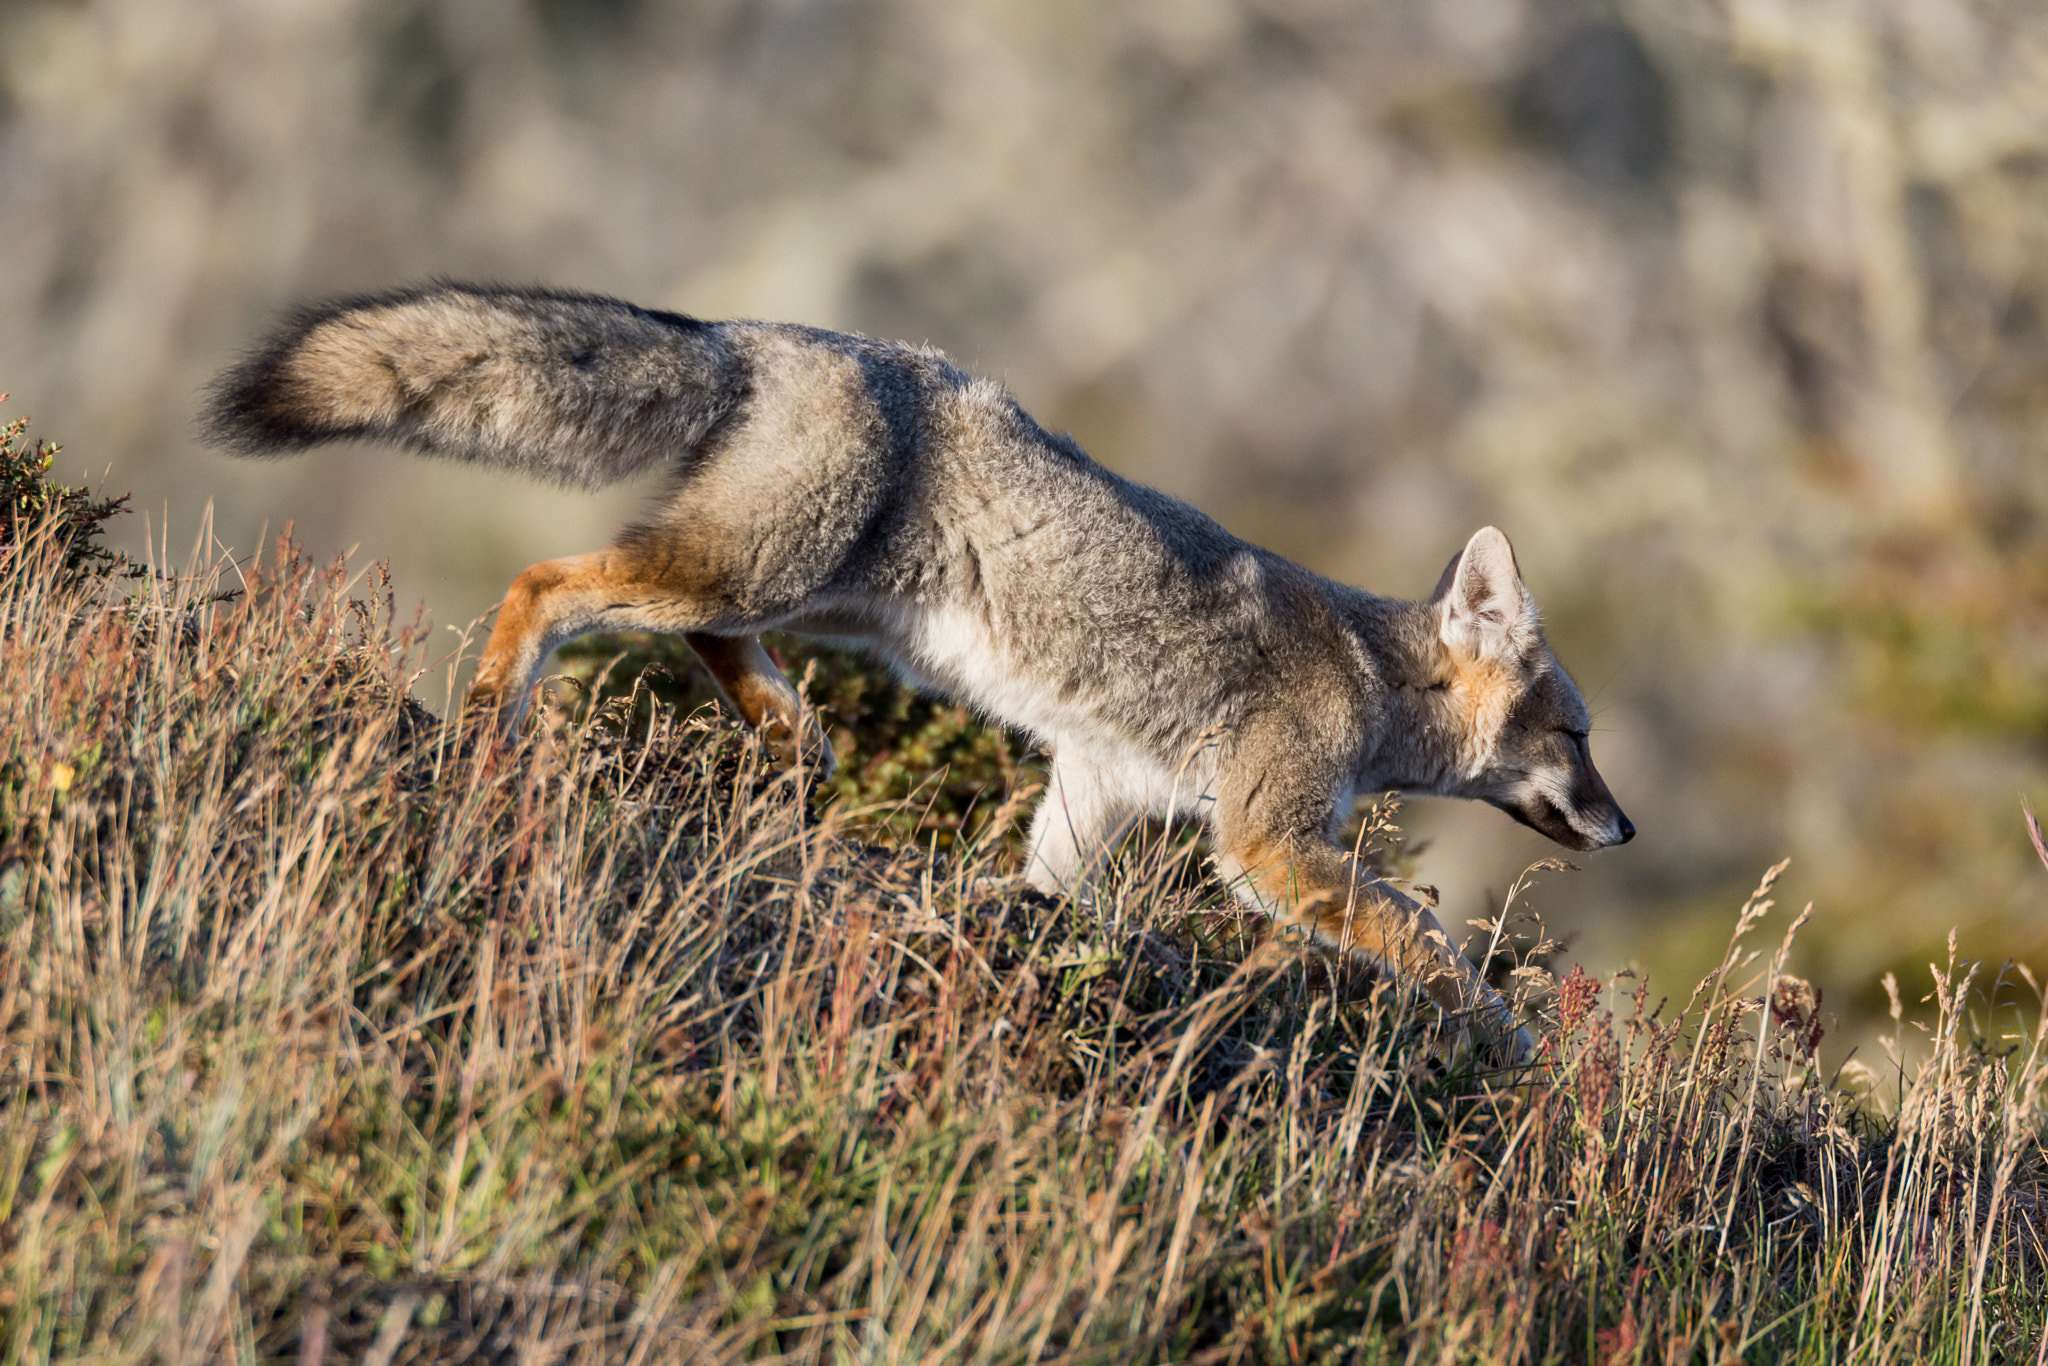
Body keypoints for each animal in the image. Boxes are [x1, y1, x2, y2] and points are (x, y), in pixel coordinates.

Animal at [203, 282, 1630, 1064]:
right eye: (1576, 737)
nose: (1623, 827)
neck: (1365, 673)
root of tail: (764, 333)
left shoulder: (1096, 787)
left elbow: (1053, 890)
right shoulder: (1266, 843)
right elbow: (1424, 933)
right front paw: (1504, 1038)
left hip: (817, 602)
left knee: (700, 638)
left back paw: (787, 737)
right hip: (758, 572)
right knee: (548, 582)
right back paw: (495, 718)